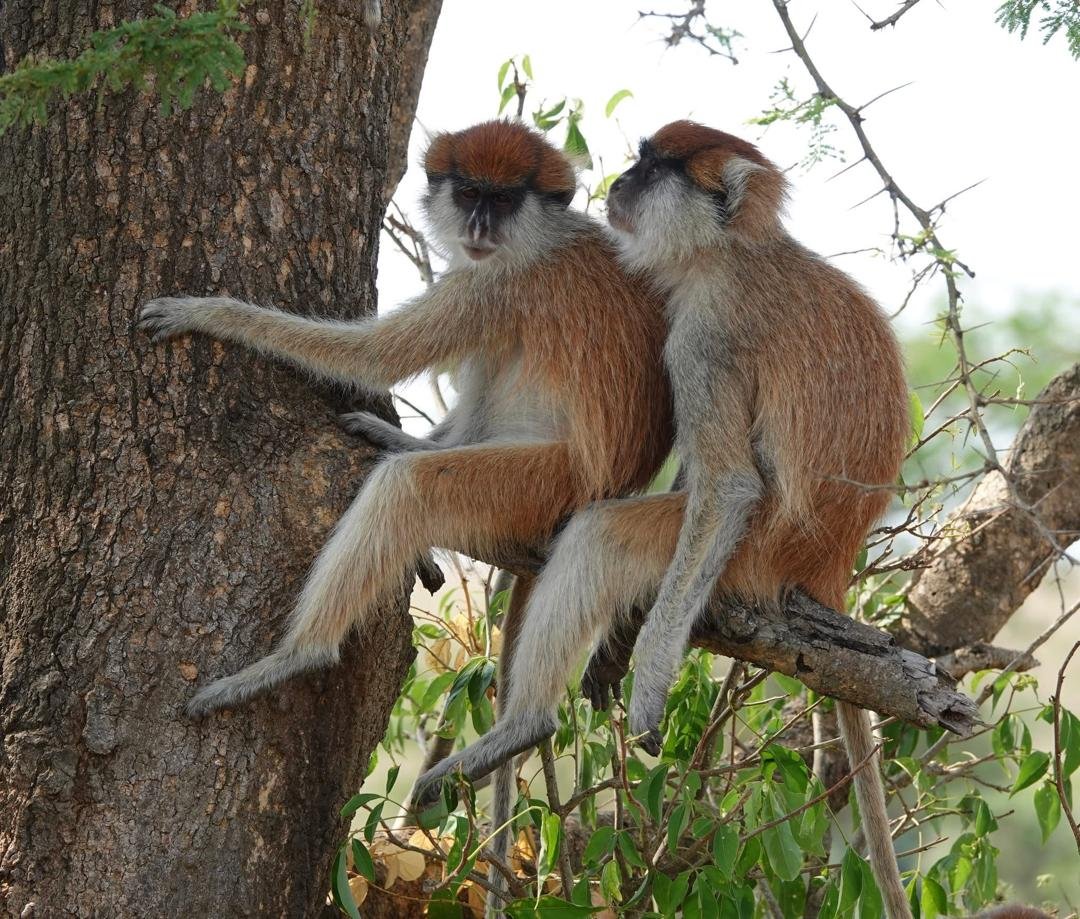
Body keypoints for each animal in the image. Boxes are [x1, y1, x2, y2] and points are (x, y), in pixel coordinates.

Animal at [137, 119, 672, 914]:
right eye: (471, 192)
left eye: (502, 200)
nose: (479, 227)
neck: (536, 240)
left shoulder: (493, 285)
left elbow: (373, 355)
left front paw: (209, 313)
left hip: (539, 483)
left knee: (412, 490)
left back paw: (306, 654)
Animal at [415, 122, 913, 919]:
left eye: (655, 170)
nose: (620, 179)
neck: (734, 248)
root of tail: (828, 564)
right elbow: (709, 478)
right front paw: (618, 648)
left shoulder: (706, 333)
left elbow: (729, 486)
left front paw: (648, 671)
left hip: (756, 555)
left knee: (604, 532)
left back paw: (521, 725)